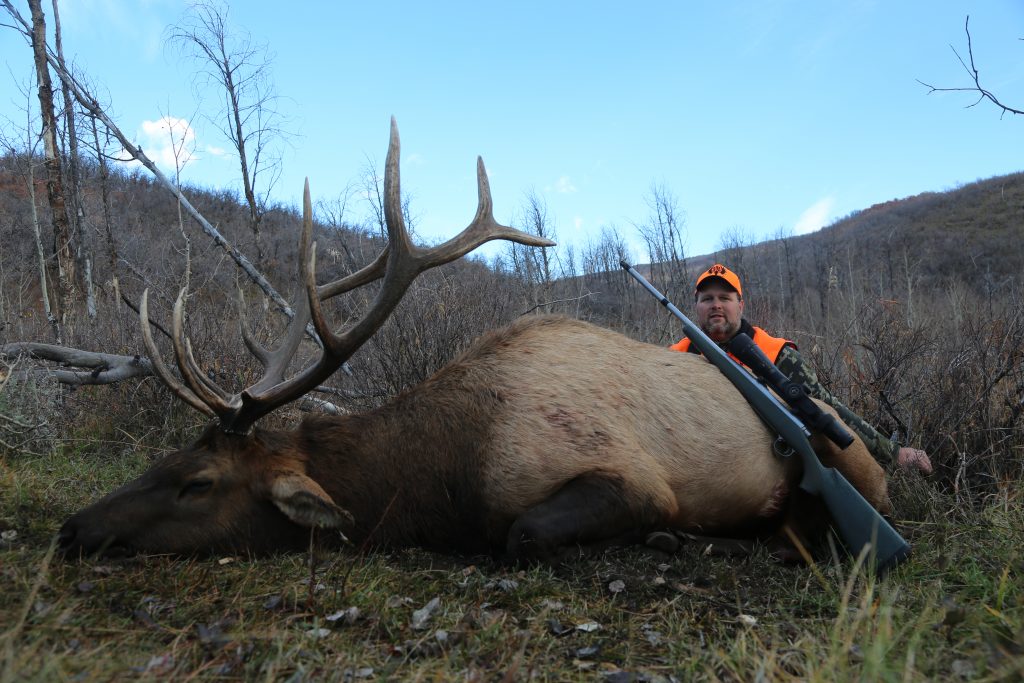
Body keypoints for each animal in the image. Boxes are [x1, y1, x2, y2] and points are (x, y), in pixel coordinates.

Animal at [58, 120, 888, 565]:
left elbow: (523, 531)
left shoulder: (633, 477)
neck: (445, 476)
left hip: (848, 459)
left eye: (198, 482)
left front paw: (672, 536)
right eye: (165, 457)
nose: (73, 525)